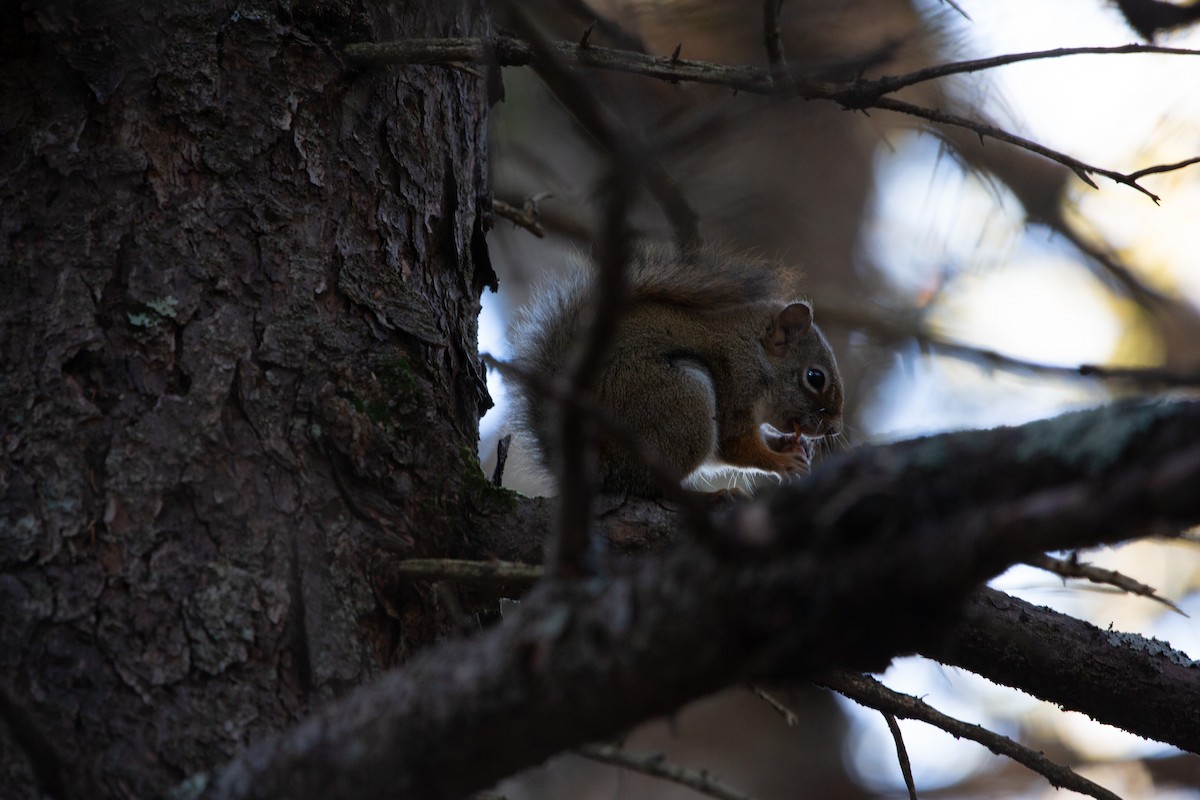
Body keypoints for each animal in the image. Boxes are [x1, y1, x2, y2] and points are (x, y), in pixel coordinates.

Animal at [509, 242, 844, 497]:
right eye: (815, 377)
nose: (834, 429)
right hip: (682, 404)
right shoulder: (737, 384)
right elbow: (734, 447)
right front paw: (782, 462)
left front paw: (786, 444)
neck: (755, 354)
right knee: (655, 487)